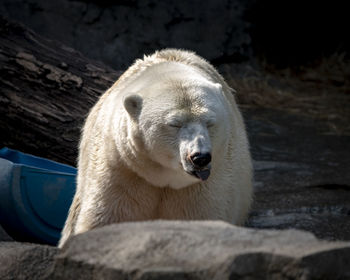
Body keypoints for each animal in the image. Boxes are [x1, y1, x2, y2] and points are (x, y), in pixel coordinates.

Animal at [58, 48, 253, 247]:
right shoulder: (121, 167)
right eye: (175, 124)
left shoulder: (208, 184)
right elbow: (106, 218)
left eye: (210, 122)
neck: (164, 177)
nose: (200, 157)